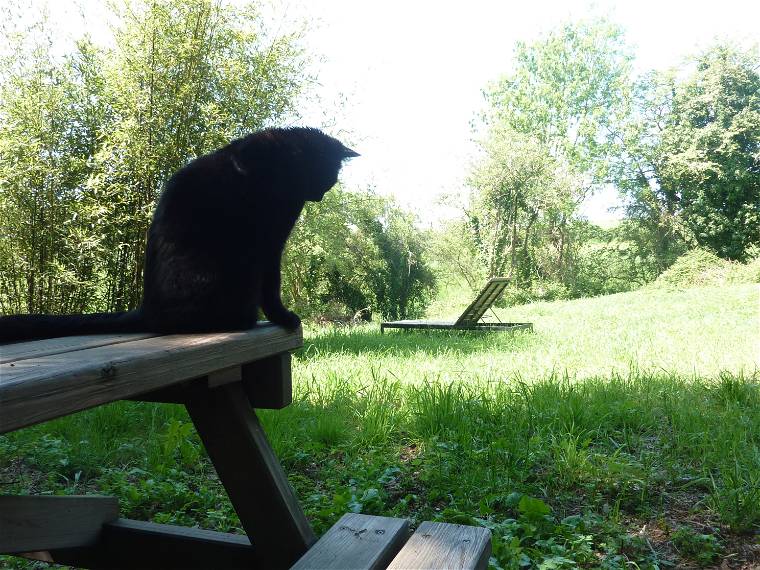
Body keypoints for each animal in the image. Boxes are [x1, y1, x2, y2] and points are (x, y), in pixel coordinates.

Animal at [0, 127, 360, 342]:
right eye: (329, 177)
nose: (321, 196)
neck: (287, 168)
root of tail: (145, 310)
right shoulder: (270, 240)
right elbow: (272, 286)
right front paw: (284, 318)